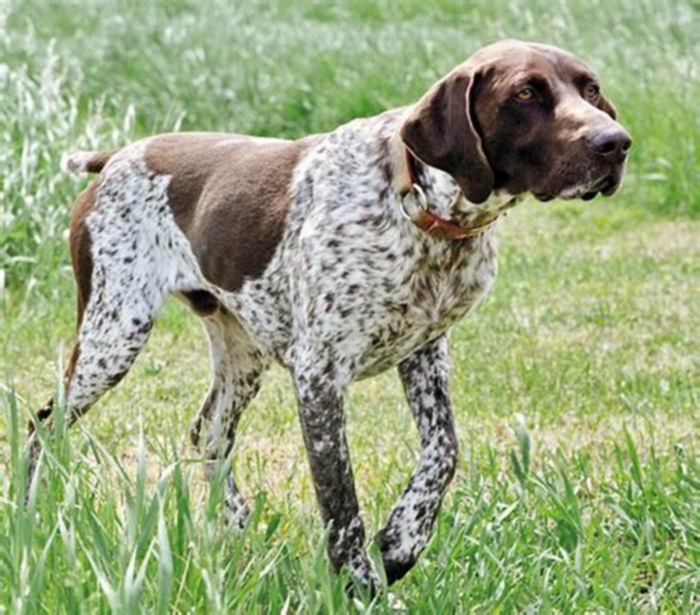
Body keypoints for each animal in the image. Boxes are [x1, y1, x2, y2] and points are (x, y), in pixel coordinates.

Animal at [27, 41, 632, 596]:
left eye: (591, 89)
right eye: (526, 93)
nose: (615, 143)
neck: (417, 207)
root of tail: (118, 155)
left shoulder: (425, 352)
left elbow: (444, 452)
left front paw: (402, 542)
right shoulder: (318, 376)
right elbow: (341, 502)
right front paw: (359, 584)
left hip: (241, 352)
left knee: (209, 431)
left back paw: (234, 525)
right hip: (114, 333)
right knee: (43, 424)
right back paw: (35, 515)